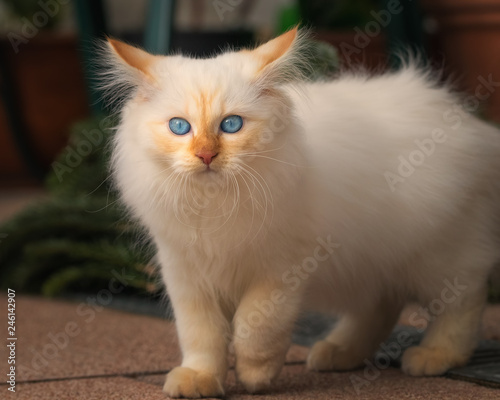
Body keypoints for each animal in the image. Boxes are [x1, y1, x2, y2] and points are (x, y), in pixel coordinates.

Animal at [101, 28, 500, 396]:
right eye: (179, 127)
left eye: (231, 125)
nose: (206, 155)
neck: (215, 205)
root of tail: (472, 125)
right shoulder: (185, 272)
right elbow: (201, 335)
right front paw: (200, 379)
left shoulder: (281, 269)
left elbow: (253, 326)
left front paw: (257, 375)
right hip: (377, 260)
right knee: (383, 305)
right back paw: (339, 352)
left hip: (438, 253)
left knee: (464, 299)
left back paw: (434, 355)